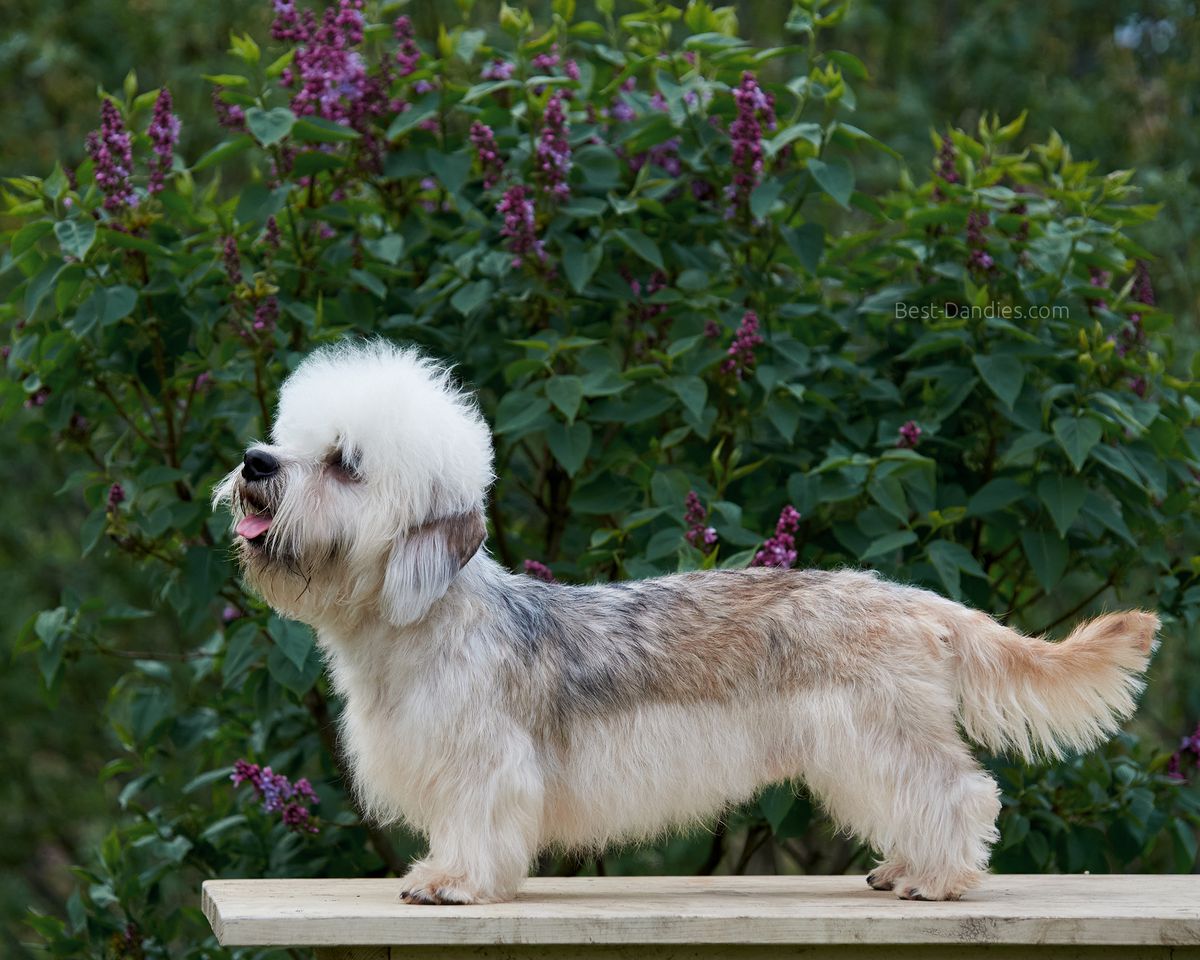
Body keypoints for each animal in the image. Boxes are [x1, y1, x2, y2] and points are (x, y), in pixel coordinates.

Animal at [216, 340, 1161, 902]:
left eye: (345, 462)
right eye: (287, 439)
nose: (255, 461)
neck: (418, 622)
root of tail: (909, 596)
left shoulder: (484, 762)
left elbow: (477, 822)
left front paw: (450, 879)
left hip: (878, 733)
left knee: (960, 790)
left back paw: (940, 879)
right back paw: (905, 867)